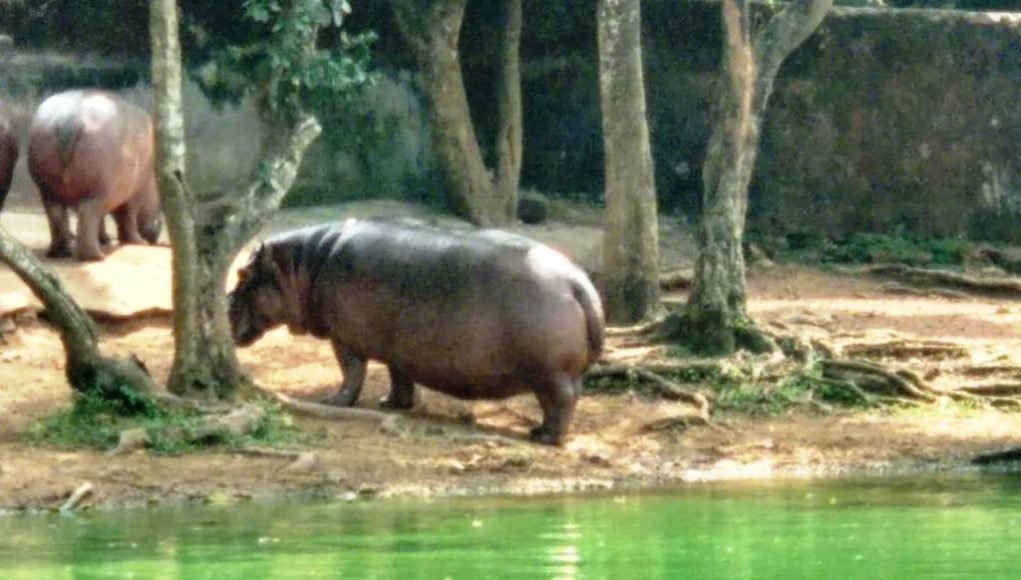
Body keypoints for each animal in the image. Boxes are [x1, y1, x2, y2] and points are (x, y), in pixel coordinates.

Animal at [27, 90, 161, 261]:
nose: (154, 236)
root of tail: (70, 119)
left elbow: (105, 219)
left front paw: (105, 239)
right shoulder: (133, 192)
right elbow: (128, 217)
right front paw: (137, 242)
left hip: (48, 190)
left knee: (57, 215)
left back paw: (60, 253)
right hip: (95, 190)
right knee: (88, 214)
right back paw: (95, 256)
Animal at [227, 219, 606, 445]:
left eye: (245, 274)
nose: (225, 305)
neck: (304, 264)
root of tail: (577, 282)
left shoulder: (344, 337)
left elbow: (351, 373)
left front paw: (332, 401)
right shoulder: (399, 347)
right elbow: (399, 376)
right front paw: (392, 404)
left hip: (550, 375)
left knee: (561, 402)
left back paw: (543, 437)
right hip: (562, 373)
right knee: (569, 399)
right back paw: (540, 431)